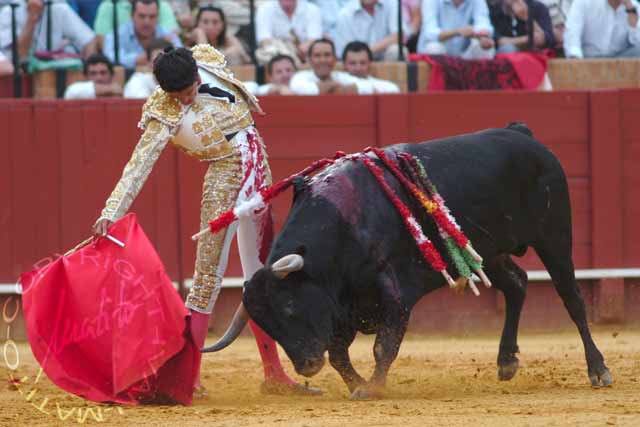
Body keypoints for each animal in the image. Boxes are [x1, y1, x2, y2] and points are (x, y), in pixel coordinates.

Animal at [202, 124, 612, 402]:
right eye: (267, 324)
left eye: (289, 305)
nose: (305, 366)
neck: (341, 225)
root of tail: (521, 133)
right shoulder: (344, 306)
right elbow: (338, 354)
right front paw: (359, 385)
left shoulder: (392, 290)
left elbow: (383, 346)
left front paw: (373, 387)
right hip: (486, 250)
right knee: (517, 284)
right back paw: (506, 361)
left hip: (555, 237)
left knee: (572, 299)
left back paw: (598, 370)